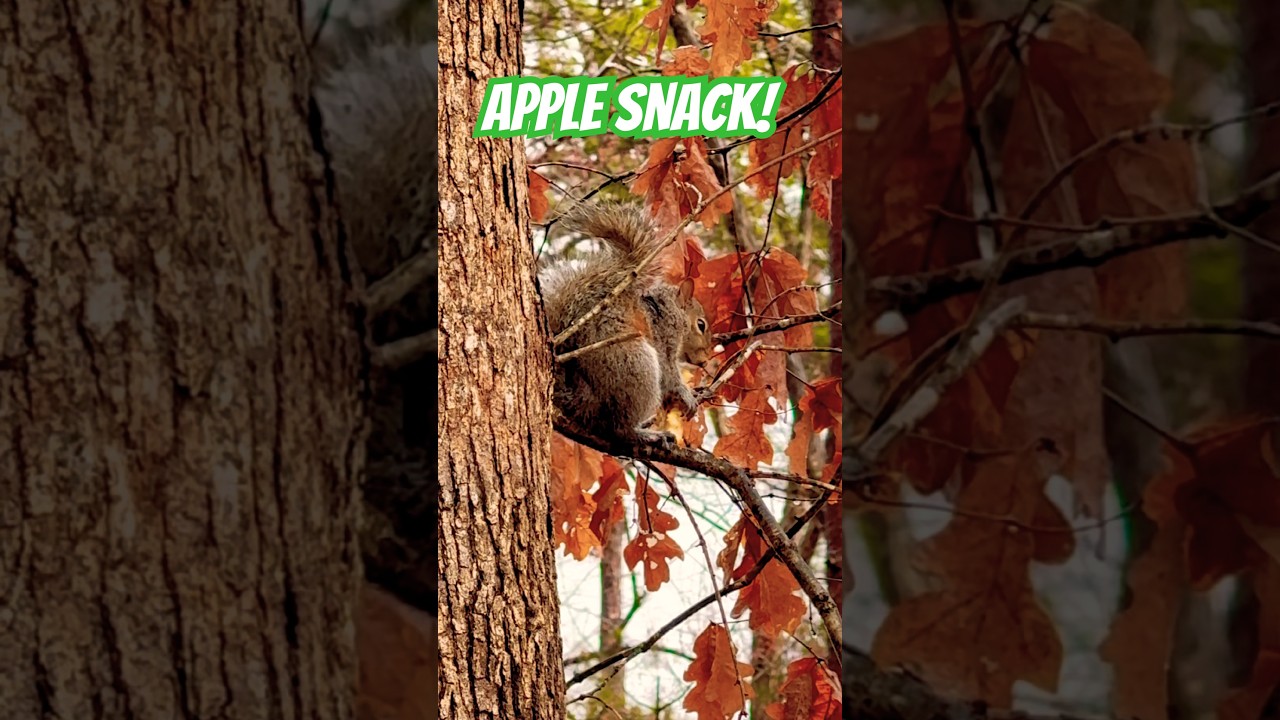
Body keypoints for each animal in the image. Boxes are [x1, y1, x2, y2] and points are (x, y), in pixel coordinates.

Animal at [541, 202, 713, 446]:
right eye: (701, 325)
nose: (705, 360)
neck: (667, 309)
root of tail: (584, 402)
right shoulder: (664, 338)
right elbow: (670, 375)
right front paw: (686, 395)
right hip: (636, 364)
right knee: (619, 427)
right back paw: (645, 433)